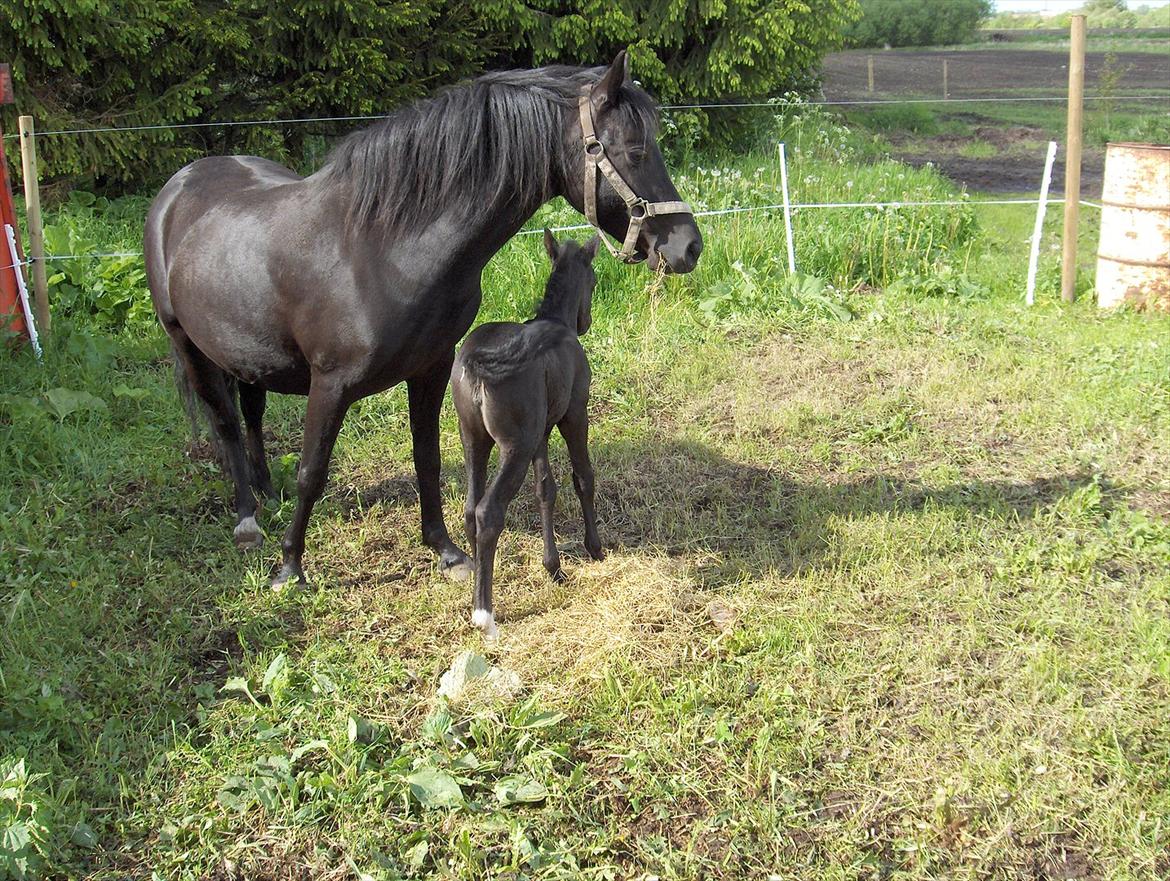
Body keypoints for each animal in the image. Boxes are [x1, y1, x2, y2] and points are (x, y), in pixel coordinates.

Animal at [141, 49, 697, 584]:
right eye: (635, 151)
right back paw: (247, 517)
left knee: (251, 413)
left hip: (250, 354)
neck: (384, 248)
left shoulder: (431, 369)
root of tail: (179, 184)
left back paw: (264, 492)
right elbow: (311, 471)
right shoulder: (330, 383)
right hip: (189, 347)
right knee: (226, 425)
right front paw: (291, 566)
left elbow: (426, 458)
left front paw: (446, 551)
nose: (689, 246)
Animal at [451, 230, 608, 636]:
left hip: (473, 438)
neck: (556, 321)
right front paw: (595, 547)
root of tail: (478, 363)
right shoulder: (574, 414)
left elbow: (545, 489)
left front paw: (553, 568)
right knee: (488, 511)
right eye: (595, 280)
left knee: (470, 509)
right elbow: (583, 477)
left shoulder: (540, 432)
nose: (585, 322)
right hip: (514, 446)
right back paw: (485, 616)